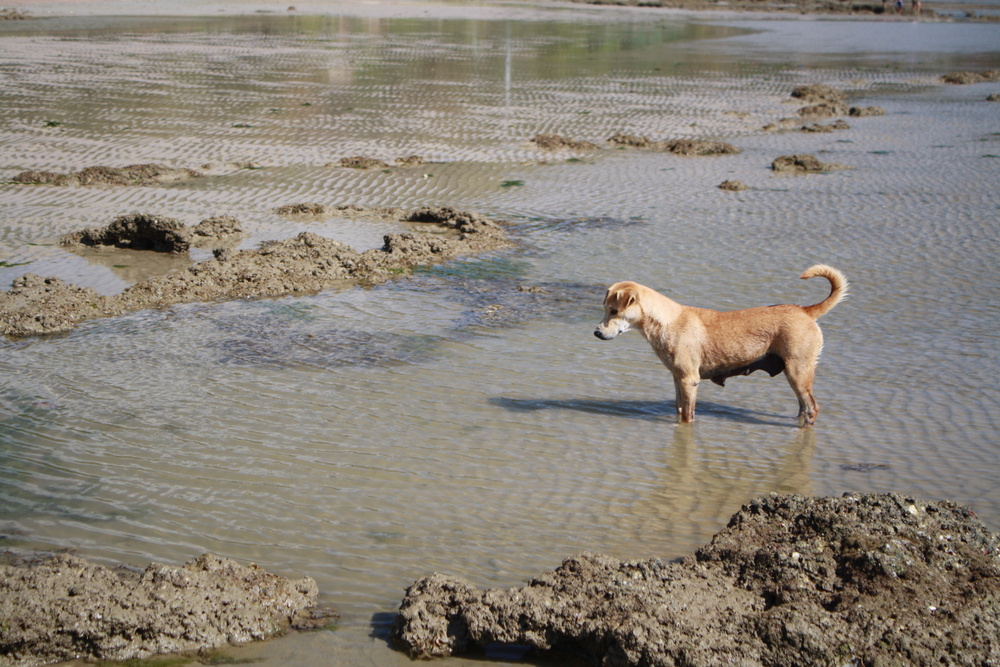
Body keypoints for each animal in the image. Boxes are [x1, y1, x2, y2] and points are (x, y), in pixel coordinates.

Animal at [596, 266, 848, 428]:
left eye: (614, 311)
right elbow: (679, 409)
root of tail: (806, 311)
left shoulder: (690, 380)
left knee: (812, 408)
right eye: (605, 308)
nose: (597, 333)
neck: (668, 320)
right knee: (803, 407)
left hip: (798, 370)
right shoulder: (678, 378)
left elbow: (688, 415)